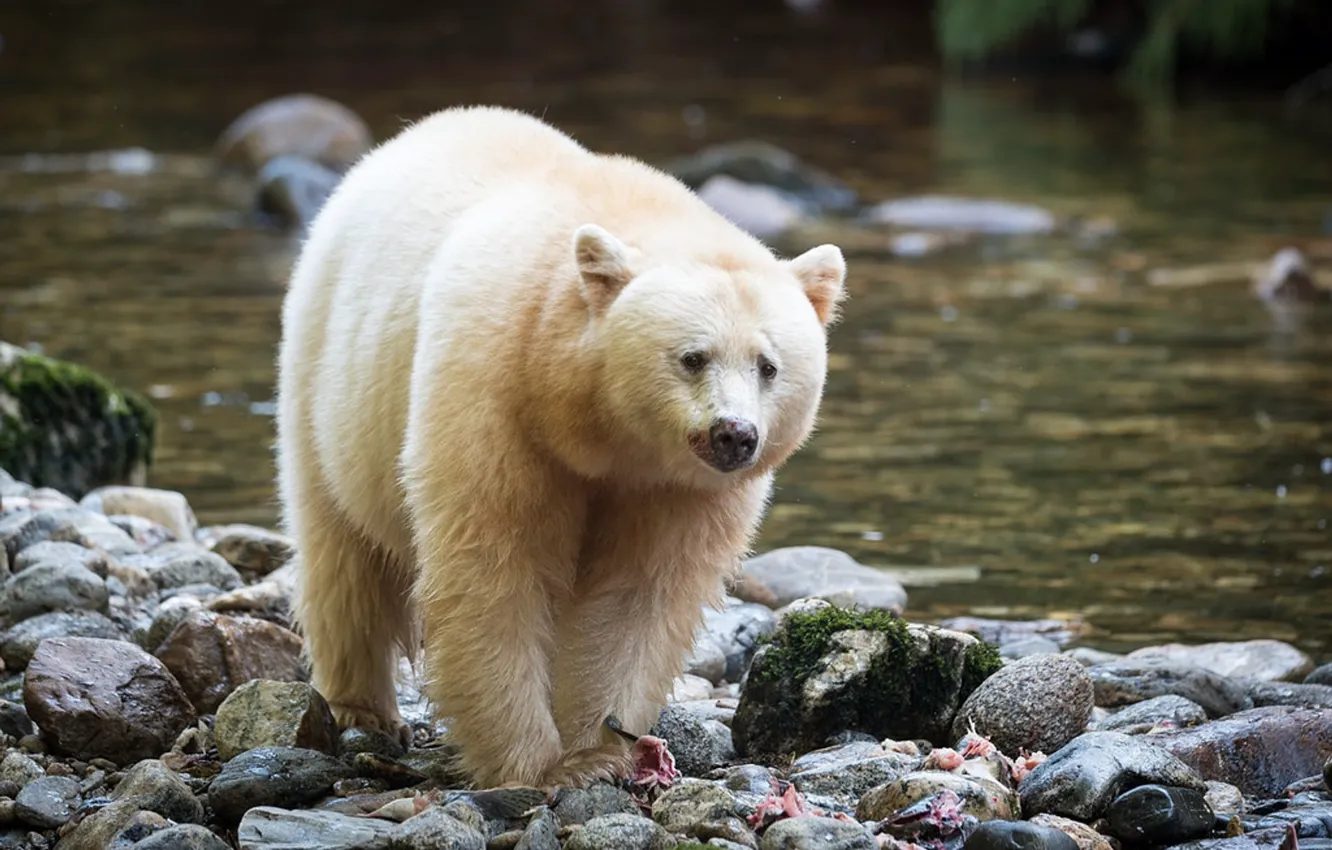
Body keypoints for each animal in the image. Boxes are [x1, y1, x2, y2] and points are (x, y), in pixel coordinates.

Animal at [274, 105, 847, 789]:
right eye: (693, 356)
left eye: (769, 366)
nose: (734, 434)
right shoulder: (497, 398)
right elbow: (495, 567)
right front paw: (532, 765)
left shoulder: (677, 488)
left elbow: (637, 593)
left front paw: (597, 751)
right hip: (329, 376)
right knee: (341, 560)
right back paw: (364, 710)